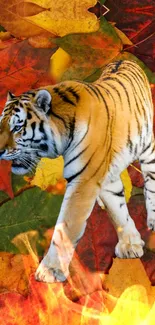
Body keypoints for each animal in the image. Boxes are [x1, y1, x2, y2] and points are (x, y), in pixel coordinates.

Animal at [0, 59, 154, 282]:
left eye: (17, 128)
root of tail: (124, 60)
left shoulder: (84, 181)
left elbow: (66, 227)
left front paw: (50, 271)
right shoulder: (102, 177)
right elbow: (117, 210)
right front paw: (130, 245)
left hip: (148, 148)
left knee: (151, 181)